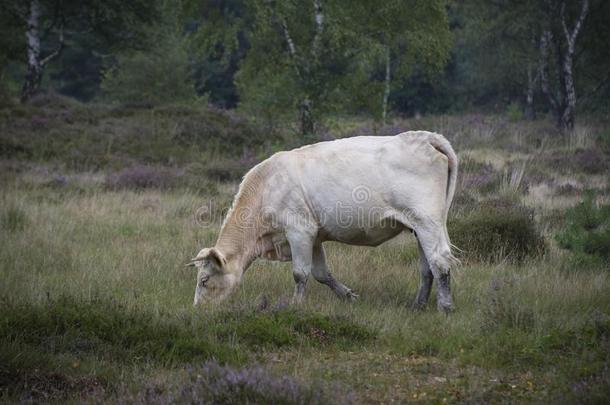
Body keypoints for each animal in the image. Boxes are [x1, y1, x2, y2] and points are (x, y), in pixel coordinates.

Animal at [188, 131, 458, 310]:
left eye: (204, 280)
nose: (197, 310)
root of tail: (424, 136)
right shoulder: (314, 236)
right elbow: (321, 273)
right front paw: (347, 296)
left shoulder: (299, 230)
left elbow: (300, 273)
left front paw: (295, 305)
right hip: (418, 228)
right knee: (427, 267)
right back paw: (418, 305)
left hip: (427, 221)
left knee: (440, 261)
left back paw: (445, 307)